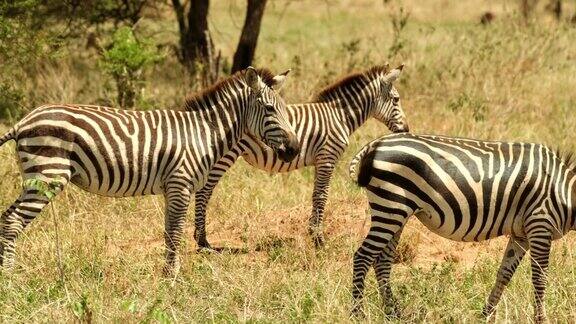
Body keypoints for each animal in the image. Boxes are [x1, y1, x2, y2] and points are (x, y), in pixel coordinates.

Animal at [0, 67, 296, 274]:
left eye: (283, 109)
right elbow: (175, 232)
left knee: (6, 218)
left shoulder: (172, 188)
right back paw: (11, 275)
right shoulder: (180, 184)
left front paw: (167, 273)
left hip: (37, 177)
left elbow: (168, 232)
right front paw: (173, 276)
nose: (293, 149)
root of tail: (23, 121)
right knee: (12, 221)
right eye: (270, 109)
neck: (203, 133)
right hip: (47, 175)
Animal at [194, 64, 410, 249]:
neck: (339, 117)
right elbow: (322, 196)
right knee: (204, 191)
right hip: (224, 155)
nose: (406, 130)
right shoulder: (327, 158)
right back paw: (202, 240)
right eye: (396, 99)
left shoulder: (320, 161)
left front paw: (313, 234)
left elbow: (316, 195)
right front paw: (319, 240)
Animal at [346, 132, 576, 322]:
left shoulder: (521, 235)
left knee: (382, 261)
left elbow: (504, 274)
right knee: (363, 257)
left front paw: (486, 315)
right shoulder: (540, 225)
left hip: (396, 211)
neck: (565, 192)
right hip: (390, 206)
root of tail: (375, 144)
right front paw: (541, 319)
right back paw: (357, 314)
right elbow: (540, 278)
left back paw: (393, 313)